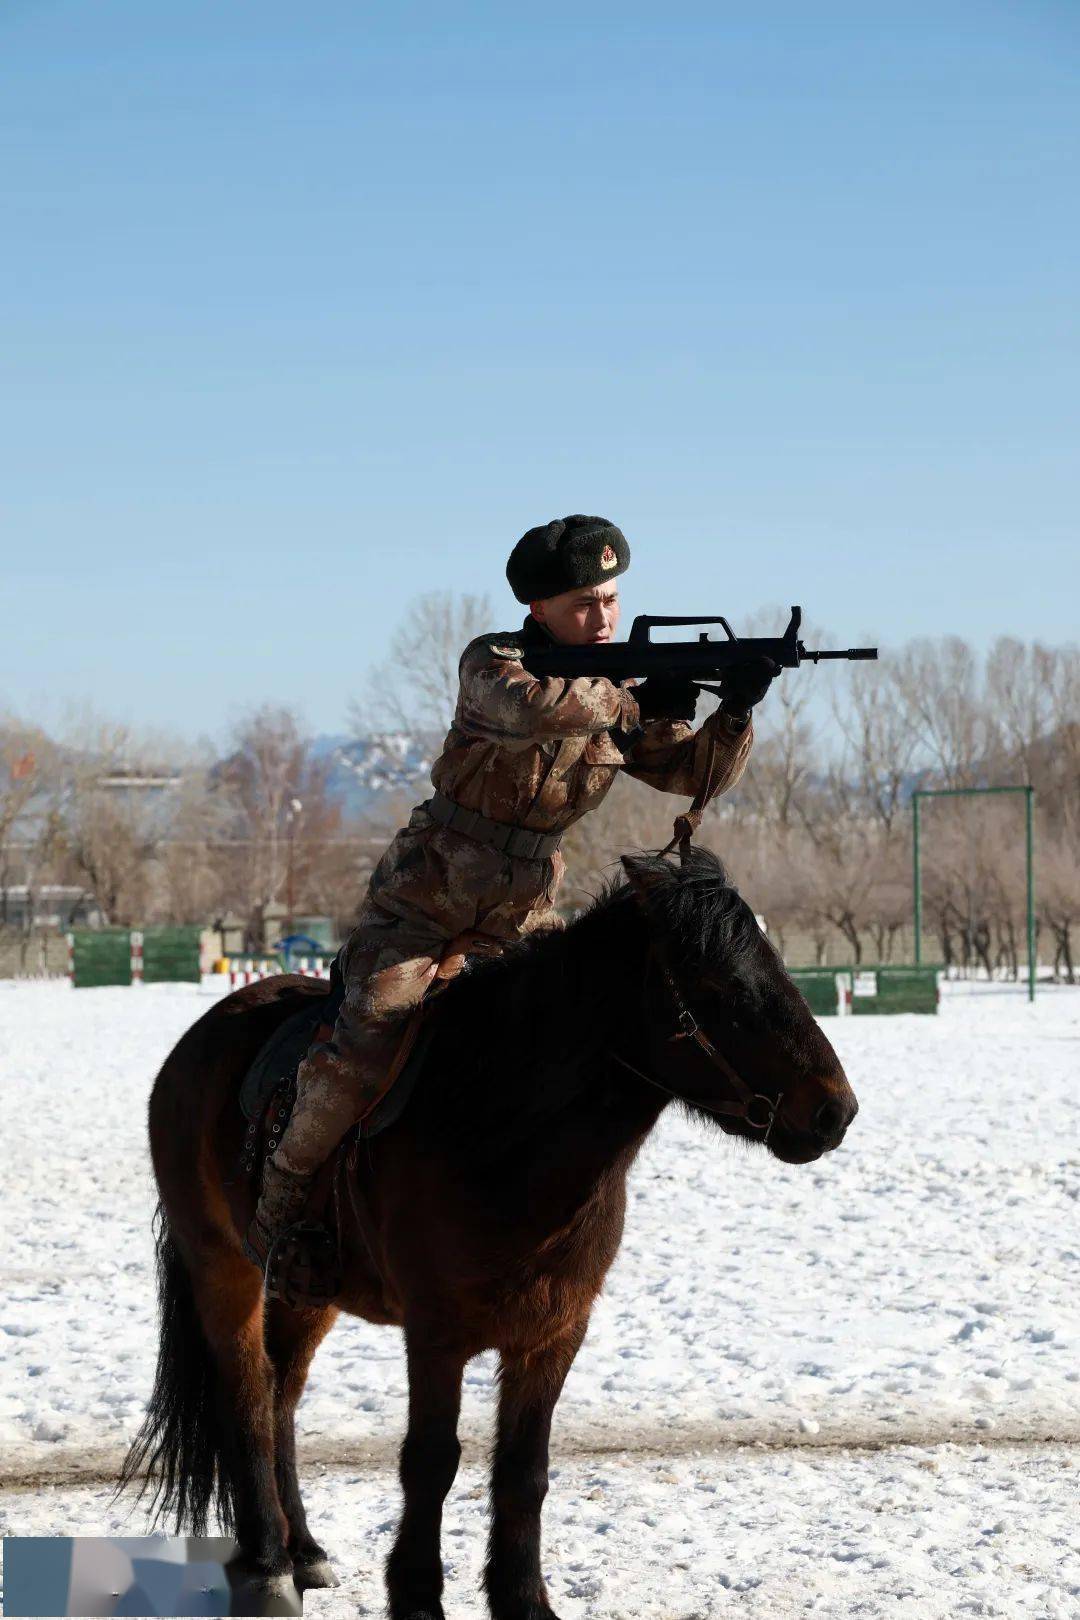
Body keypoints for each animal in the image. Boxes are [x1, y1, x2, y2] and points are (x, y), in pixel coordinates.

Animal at [120, 848, 861, 1620]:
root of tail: (199, 1042)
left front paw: (523, 1599)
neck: (499, 1125)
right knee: (246, 1396)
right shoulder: (436, 1336)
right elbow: (430, 1461)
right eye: (718, 983)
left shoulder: (553, 1335)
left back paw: (305, 1552)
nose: (834, 1111)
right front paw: (417, 1597)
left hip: (303, 1292)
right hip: (222, 1268)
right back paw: (267, 1565)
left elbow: (523, 1470)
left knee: (281, 1394)